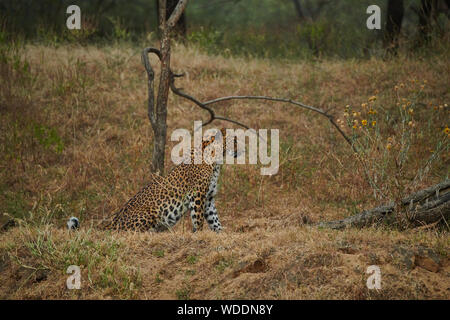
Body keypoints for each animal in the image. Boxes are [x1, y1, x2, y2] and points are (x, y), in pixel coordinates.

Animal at [67, 127, 239, 232]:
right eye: (235, 141)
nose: (243, 148)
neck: (216, 161)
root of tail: (114, 221)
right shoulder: (198, 195)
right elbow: (198, 219)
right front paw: (199, 233)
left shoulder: (208, 198)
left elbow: (214, 219)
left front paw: (220, 233)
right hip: (152, 211)